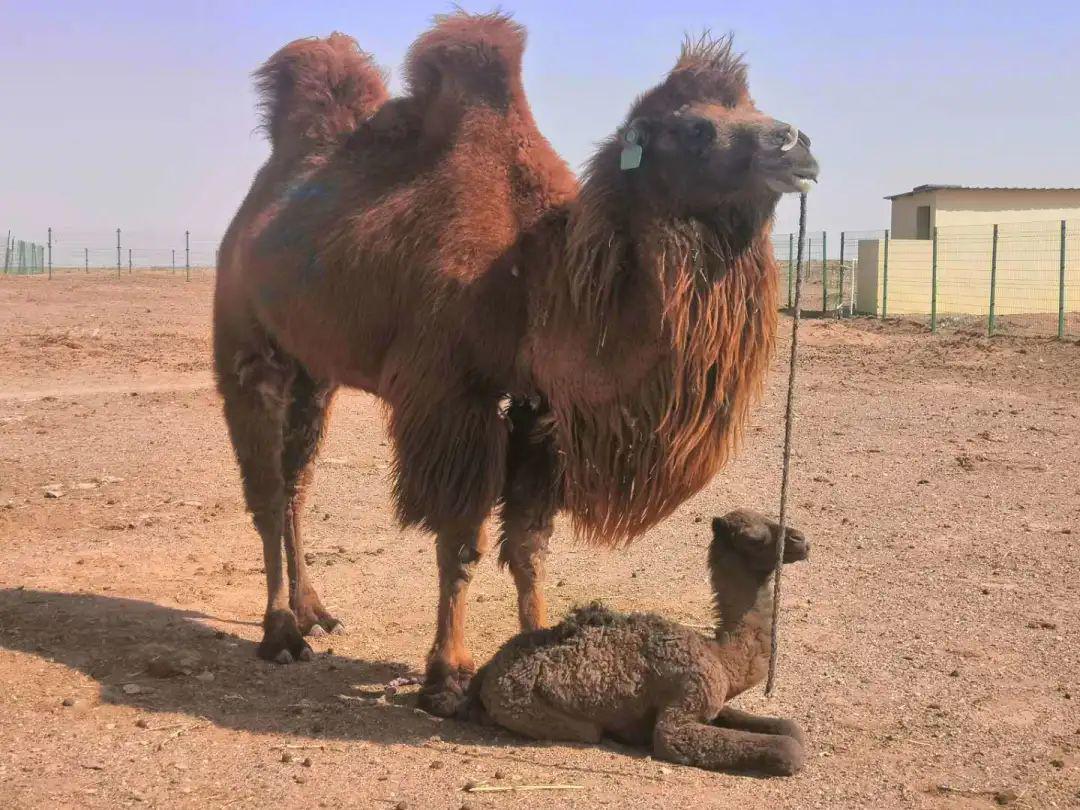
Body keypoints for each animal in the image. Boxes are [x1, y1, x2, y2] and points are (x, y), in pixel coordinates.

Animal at [210, 12, 816, 717]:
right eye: (695, 127)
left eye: (750, 106)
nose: (798, 145)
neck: (535, 278)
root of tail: (256, 211)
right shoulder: (452, 398)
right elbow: (460, 543)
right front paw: (446, 676)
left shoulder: (540, 410)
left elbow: (529, 544)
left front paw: (541, 650)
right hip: (247, 342)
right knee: (267, 487)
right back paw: (280, 633)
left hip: (319, 371)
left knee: (298, 480)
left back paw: (314, 611)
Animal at [473, 509, 812, 777]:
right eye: (753, 538)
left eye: (771, 517)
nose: (801, 541)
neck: (720, 655)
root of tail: (486, 674)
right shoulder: (685, 700)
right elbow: (787, 748)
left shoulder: (711, 700)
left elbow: (789, 727)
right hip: (531, 709)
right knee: (588, 730)